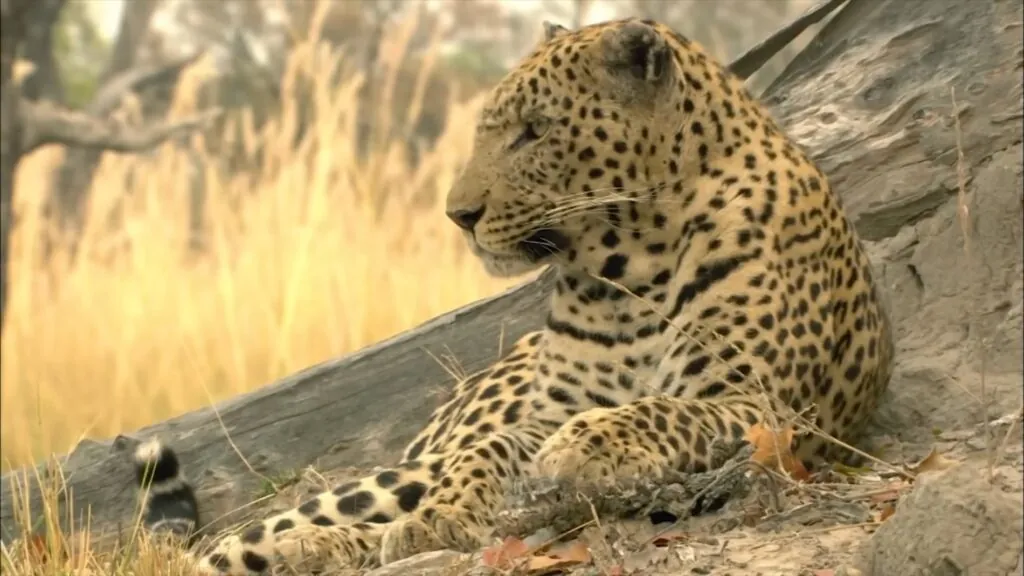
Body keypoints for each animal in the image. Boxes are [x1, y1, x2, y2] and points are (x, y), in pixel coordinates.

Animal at [132, 17, 892, 573]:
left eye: (536, 131)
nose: (458, 215)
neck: (630, 266)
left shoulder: (761, 405)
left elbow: (658, 409)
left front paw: (579, 449)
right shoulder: (540, 411)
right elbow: (492, 451)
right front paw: (447, 513)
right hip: (407, 464)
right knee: (249, 536)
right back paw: (303, 545)